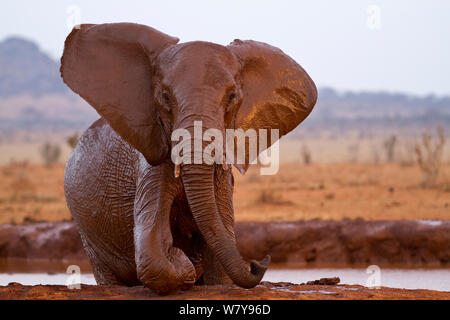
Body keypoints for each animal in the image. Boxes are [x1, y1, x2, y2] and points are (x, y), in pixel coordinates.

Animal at [61, 21, 316, 292]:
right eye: (164, 97)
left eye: (232, 97)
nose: (260, 262)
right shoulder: (151, 164)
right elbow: (152, 244)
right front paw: (183, 264)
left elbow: (221, 239)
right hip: (88, 236)